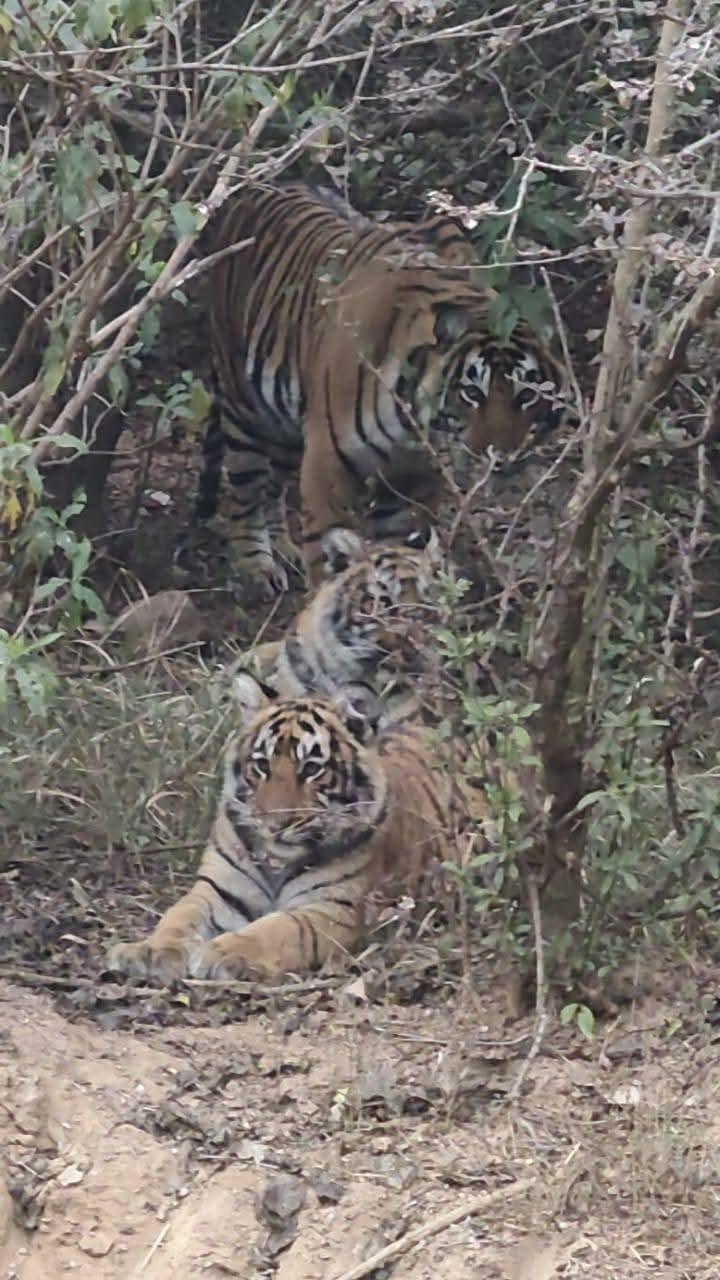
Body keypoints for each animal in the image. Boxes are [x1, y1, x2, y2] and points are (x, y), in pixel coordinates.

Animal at [107, 673, 485, 982]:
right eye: (261, 765)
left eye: (312, 768)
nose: (275, 823)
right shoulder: (215, 890)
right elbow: (178, 915)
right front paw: (149, 950)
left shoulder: (335, 907)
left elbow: (278, 928)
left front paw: (223, 952)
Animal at [195, 181, 567, 596]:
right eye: (472, 392)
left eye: (527, 394)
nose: (498, 460)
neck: (415, 426)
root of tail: (258, 188)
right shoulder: (328, 466)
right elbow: (328, 554)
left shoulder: (413, 483)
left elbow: (398, 552)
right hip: (246, 405)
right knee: (245, 489)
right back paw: (256, 566)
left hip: (287, 423)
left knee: (273, 484)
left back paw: (282, 546)